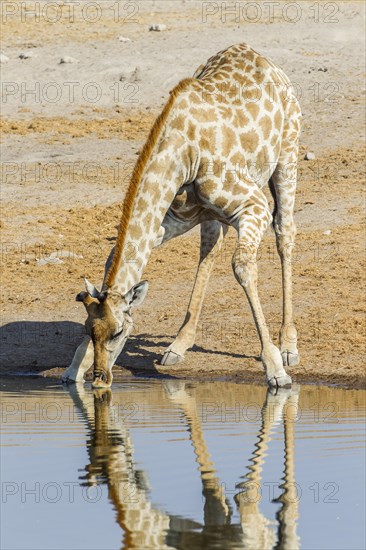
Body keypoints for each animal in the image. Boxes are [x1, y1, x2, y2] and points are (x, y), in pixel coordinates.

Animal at [62, 42, 300, 388]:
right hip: (210, 215)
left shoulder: (254, 206)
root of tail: (263, 58)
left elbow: (242, 267)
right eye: (88, 331)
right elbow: (114, 257)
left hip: (287, 156)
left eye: (119, 332)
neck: (183, 153)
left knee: (284, 233)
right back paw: (178, 344)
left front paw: (275, 370)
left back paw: (289, 346)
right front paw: (73, 369)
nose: (101, 379)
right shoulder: (174, 219)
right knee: (210, 250)